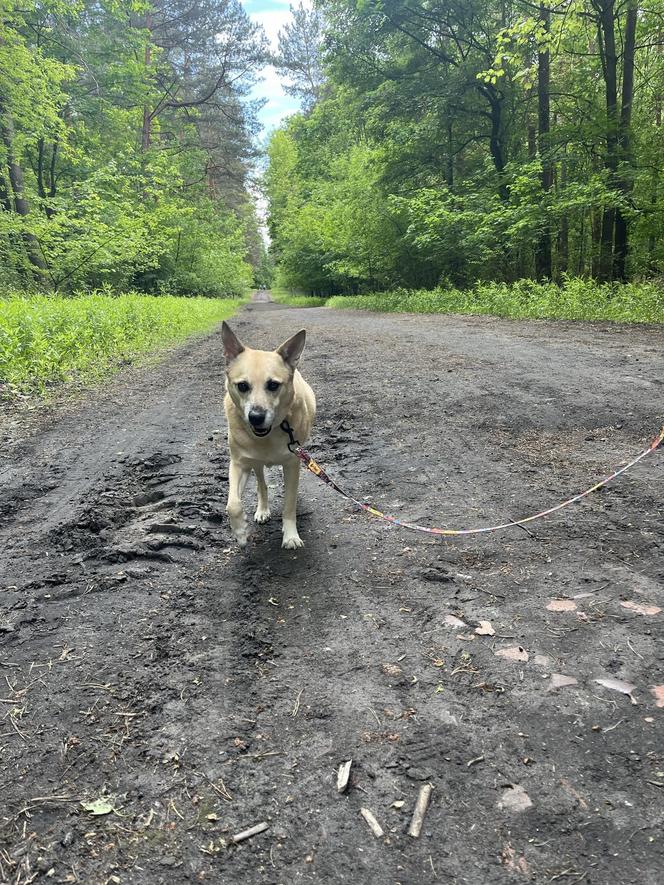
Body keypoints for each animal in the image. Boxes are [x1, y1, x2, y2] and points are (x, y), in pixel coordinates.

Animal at [223, 322, 316, 548]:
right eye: (242, 386)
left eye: (273, 385)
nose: (256, 417)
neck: (267, 435)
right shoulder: (238, 464)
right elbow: (232, 503)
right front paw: (240, 531)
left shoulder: (292, 463)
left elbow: (289, 505)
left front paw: (290, 535)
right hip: (254, 464)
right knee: (261, 483)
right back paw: (262, 509)